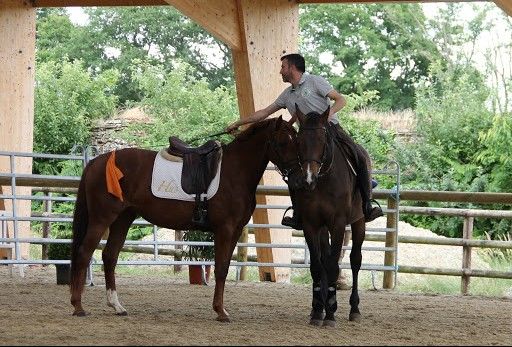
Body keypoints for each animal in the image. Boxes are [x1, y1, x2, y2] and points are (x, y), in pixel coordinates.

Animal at [68, 117, 300, 324]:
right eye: (283, 142)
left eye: (295, 139)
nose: (298, 174)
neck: (235, 172)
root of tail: (97, 162)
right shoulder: (225, 229)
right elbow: (221, 268)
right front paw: (220, 312)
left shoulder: (234, 230)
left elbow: (224, 266)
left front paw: (221, 309)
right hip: (102, 218)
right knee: (84, 253)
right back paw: (78, 306)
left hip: (123, 219)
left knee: (110, 256)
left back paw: (117, 306)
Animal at [294, 106, 366, 328]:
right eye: (299, 140)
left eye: (322, 140)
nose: (308, 179)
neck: (323, 181)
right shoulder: (311, 224)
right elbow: (318, 267)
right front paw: (318, 311)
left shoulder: (338, 224)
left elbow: (334, 265)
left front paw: (331, 312)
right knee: (325, 259)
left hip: (359, 222)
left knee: (355, 260)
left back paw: (354, 309)